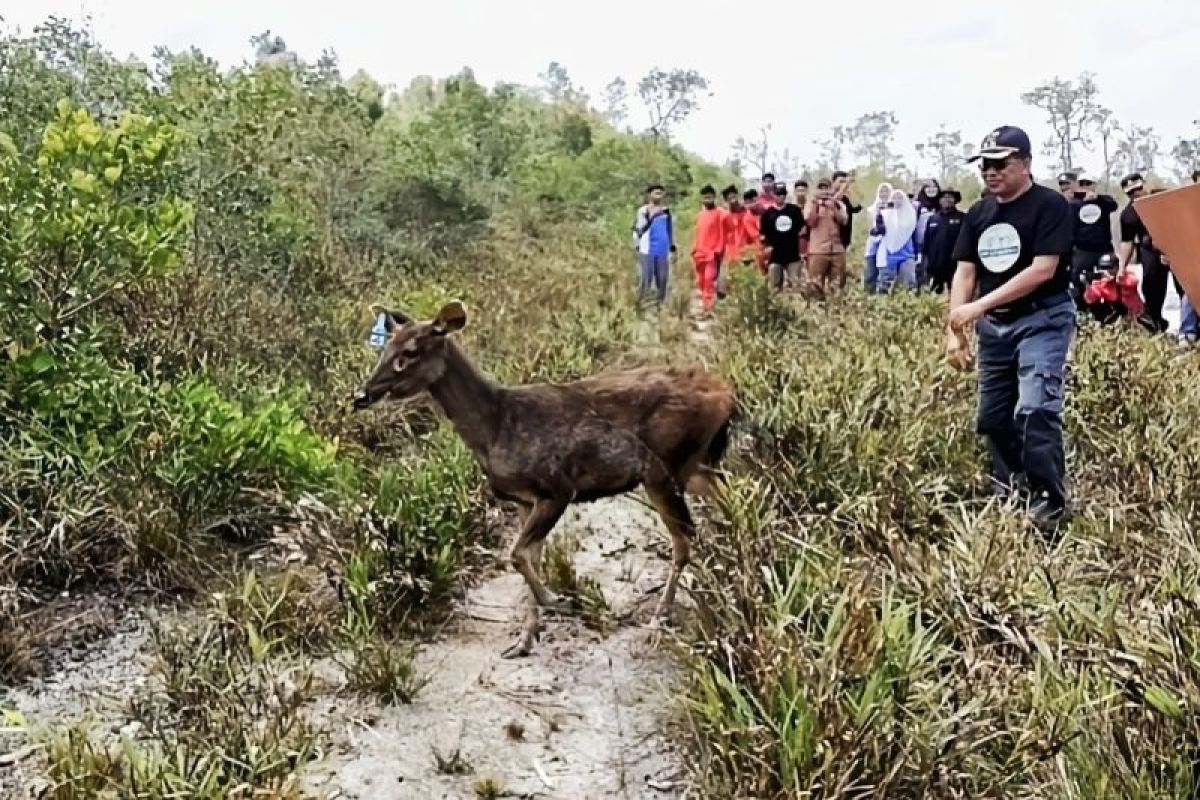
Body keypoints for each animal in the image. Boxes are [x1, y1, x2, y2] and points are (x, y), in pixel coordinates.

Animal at [350, 299, 734, 657]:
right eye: (385, 346)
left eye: (410, 352)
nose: (360, 395)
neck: (496, 427)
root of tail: (727, 396)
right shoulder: (524, 498)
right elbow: (528, 557)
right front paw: (524, 641)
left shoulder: (557, 487)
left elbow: (517, 555)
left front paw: (557, 600)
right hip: (695, 466)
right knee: (724, 498)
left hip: (666, 466)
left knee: (684, 540)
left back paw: (660, 618)